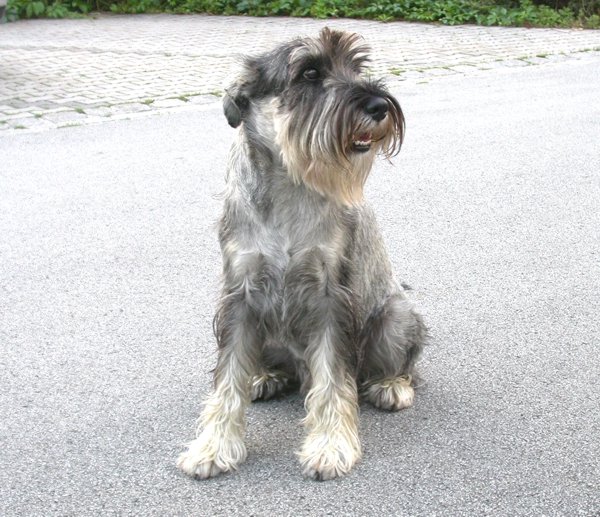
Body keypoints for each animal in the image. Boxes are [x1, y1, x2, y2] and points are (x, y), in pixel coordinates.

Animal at [178, 28, 426, 480]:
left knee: (396, 365)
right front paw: (213, 446)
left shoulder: (331, 298)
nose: (379, 106)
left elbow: (333, 379)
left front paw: (330, 446)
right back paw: (265, 377)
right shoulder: (239, 296)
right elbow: (227, 377)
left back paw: (391, 385)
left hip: (396, 318)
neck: (289, 186)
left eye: (357, 67)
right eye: (309, 73)